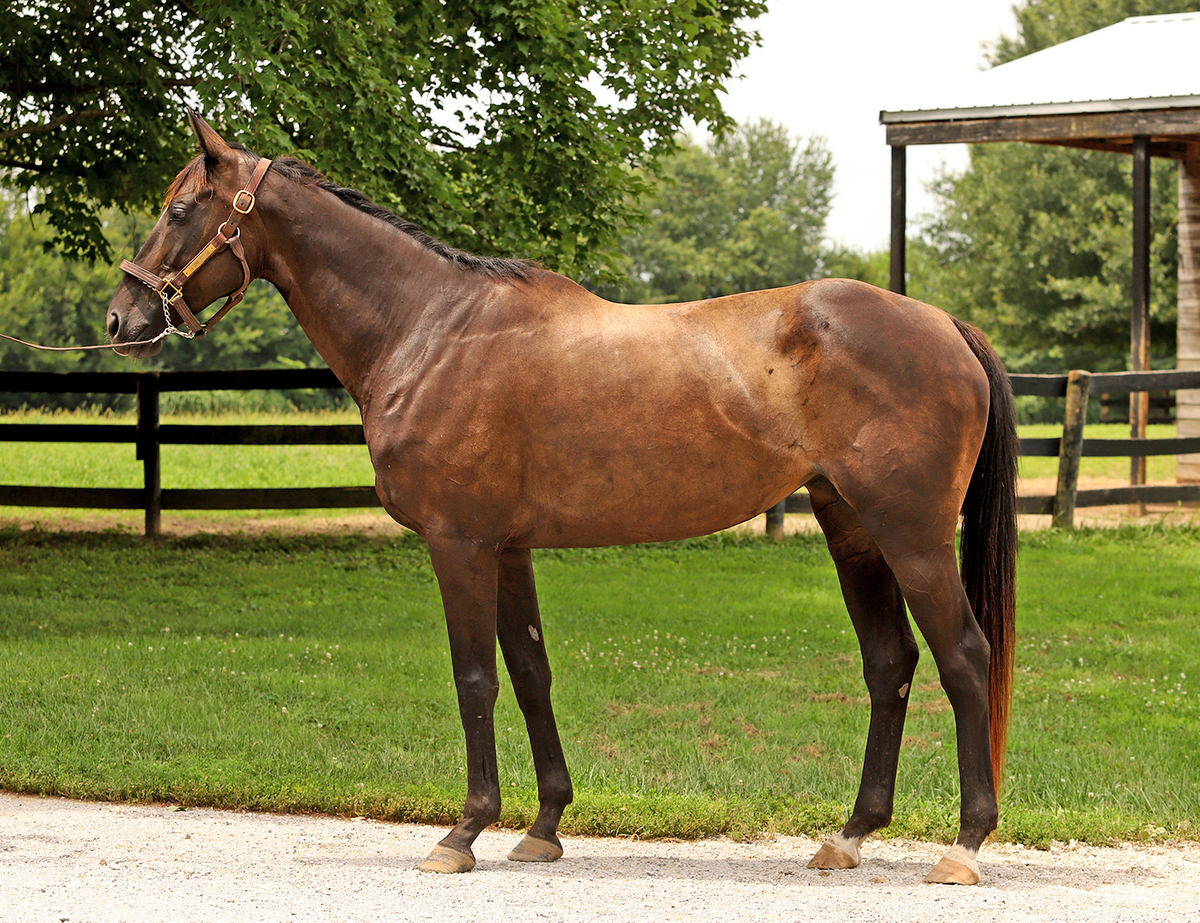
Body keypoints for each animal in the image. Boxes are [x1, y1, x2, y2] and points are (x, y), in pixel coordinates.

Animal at [107, 112, 1019, 886]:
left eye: (181, 209)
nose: (122, 317)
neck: (428, 325)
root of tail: (945, 324)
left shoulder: (459, 541)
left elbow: (475, 676)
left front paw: (462, 831)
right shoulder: (508, 546)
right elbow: (530, 670)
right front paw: (542, 826)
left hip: (914, 537)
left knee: (964, 658)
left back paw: (966, 844)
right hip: (852, 528)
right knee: (889, 663)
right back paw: (850, 834)